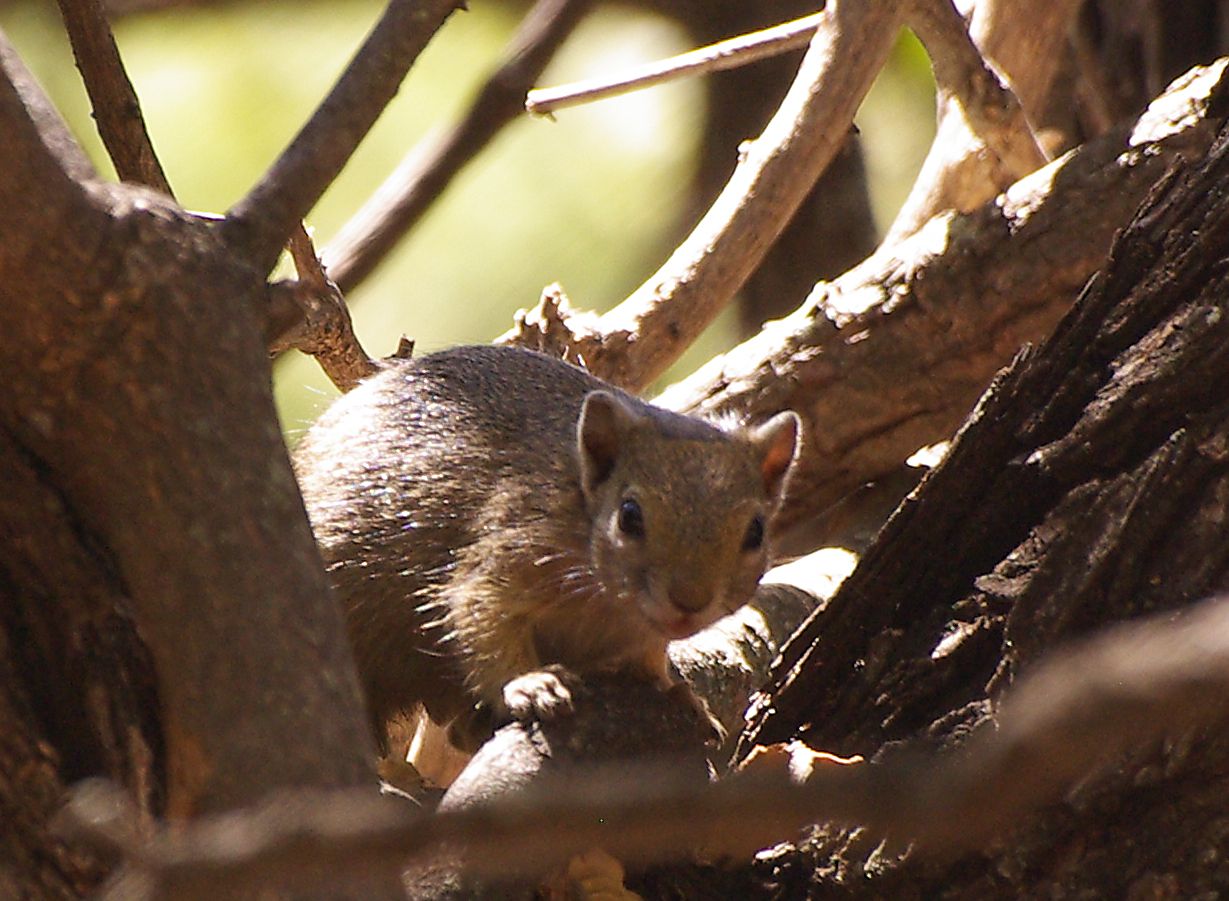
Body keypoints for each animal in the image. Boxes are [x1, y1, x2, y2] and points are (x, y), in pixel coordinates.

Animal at [292, 344, 801, 752]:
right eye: (629, 515)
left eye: (756, 531)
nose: (689, 602)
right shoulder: (509, 548)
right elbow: (483, 620)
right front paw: (530, 684)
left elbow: (652, 656)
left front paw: (679, 691)